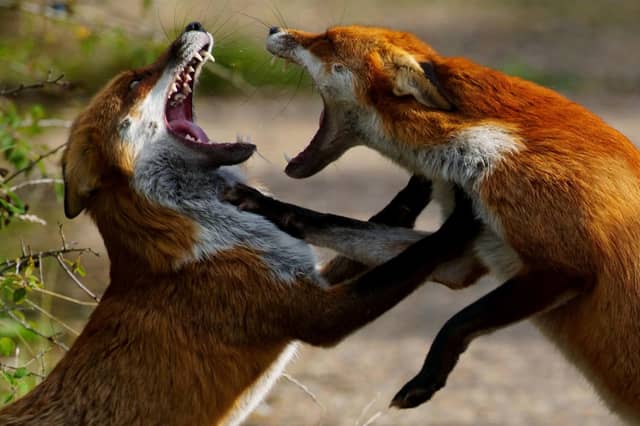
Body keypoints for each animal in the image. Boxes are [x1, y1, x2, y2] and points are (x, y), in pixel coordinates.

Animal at [0, 22, 482, 426]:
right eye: (136, 82)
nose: (192, 24)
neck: (204, 230)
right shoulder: (316, 315)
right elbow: (416, 258)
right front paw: (463, 220)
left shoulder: (305, 274)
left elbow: (378, 226)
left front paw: (426, 181)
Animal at [223, 25, 640, 422]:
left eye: (327, 39)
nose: (273, 29)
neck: (488, 142)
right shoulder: (470, 256)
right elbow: (332, 223)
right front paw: (265, 205)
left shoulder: (564, 267)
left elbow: (457, 321)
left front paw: (425, 380)